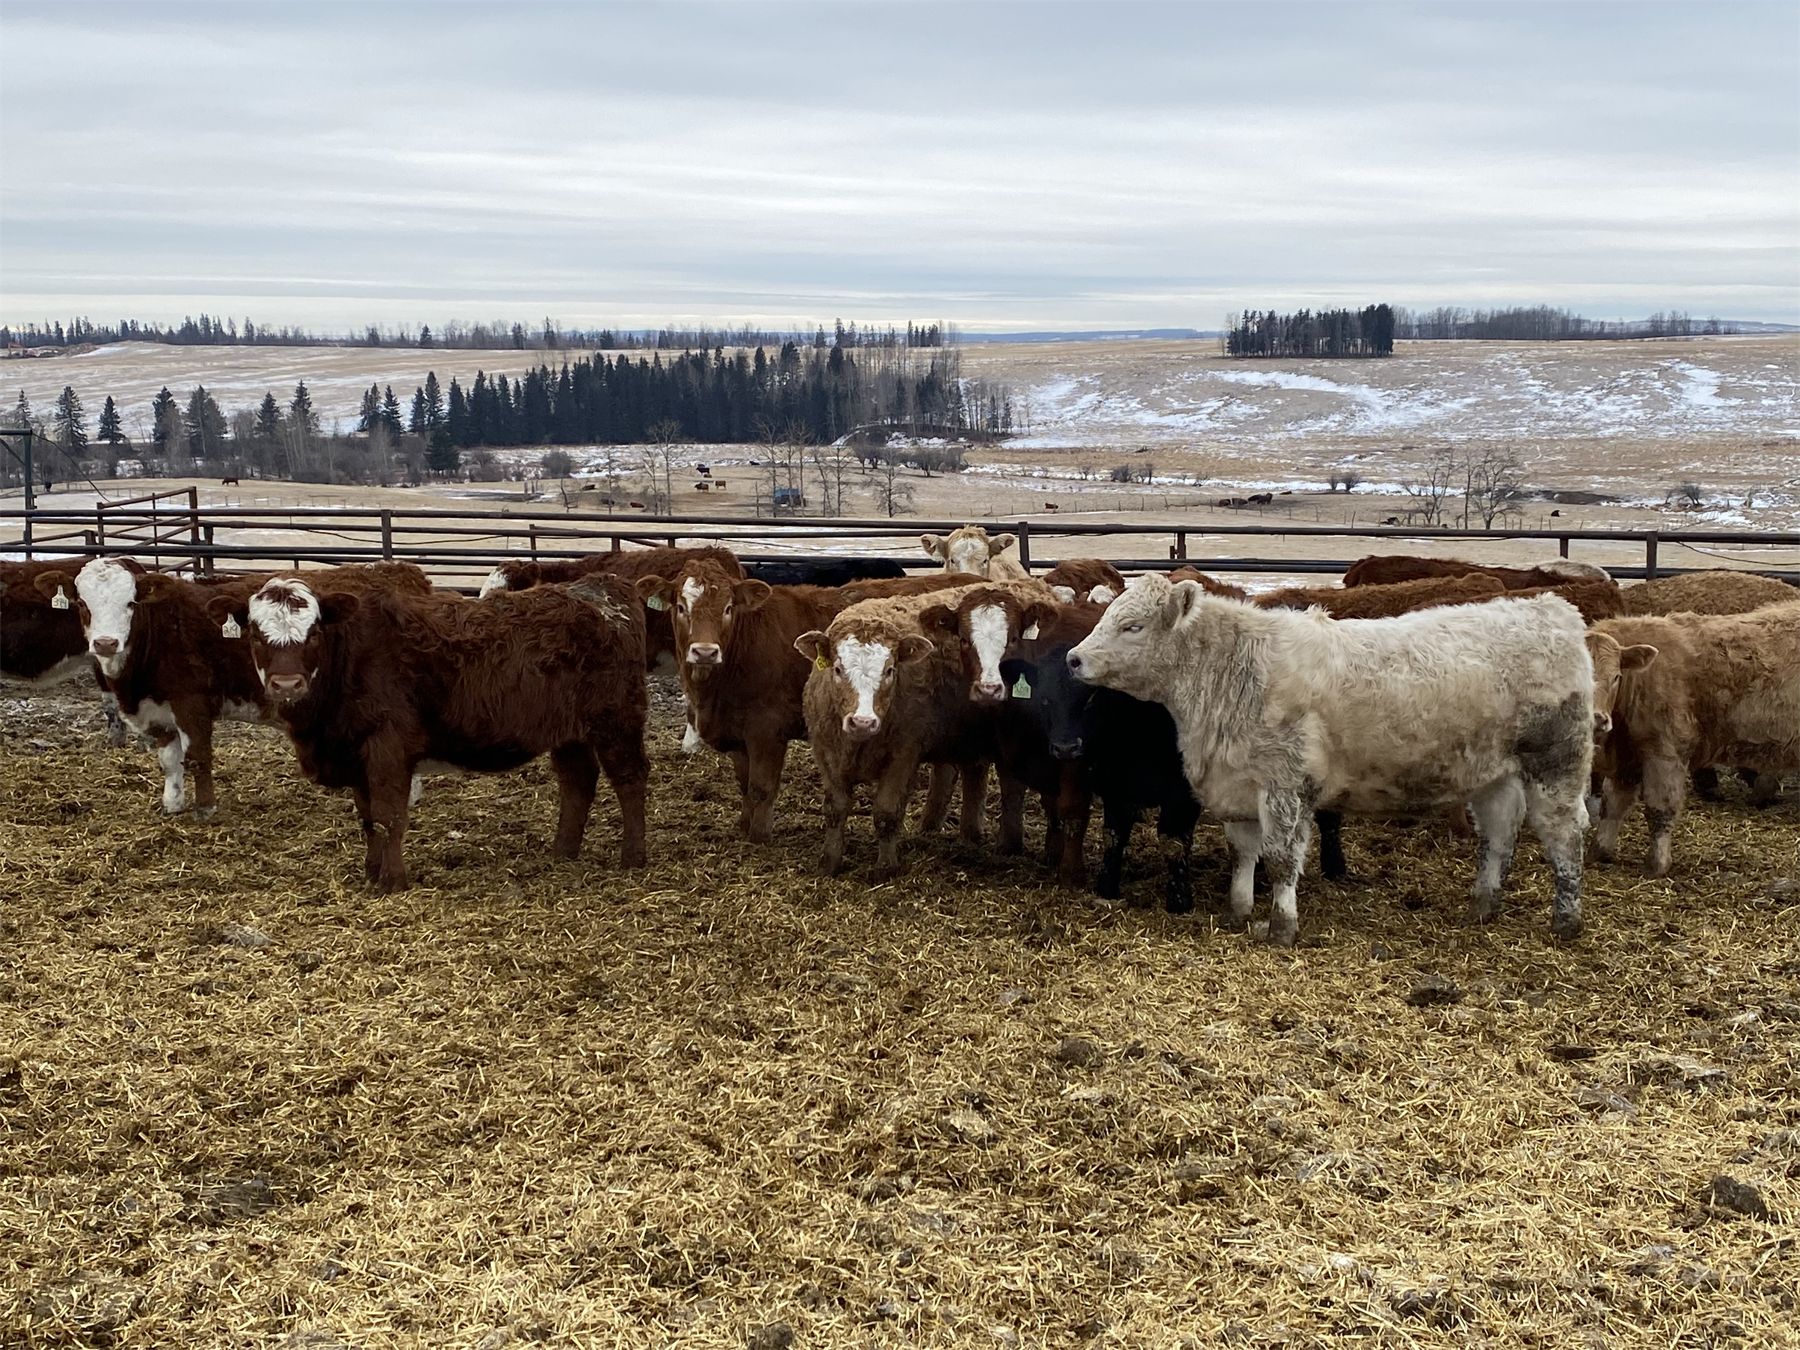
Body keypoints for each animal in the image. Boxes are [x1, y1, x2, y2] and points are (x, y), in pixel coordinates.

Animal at [214, 573, 649, 889]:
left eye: (315, 632)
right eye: (256, 634)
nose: (287, 685)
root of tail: (600, 589)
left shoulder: (387, 745)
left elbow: (389, 815)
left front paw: (392, 881)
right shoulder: (357, 751)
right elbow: (368, 817)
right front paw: (370, 871)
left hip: (617, 721)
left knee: (629, 778)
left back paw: (633, 857)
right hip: (568, 732)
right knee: (578, 781)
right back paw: (563, 851)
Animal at [1066, 576, 1594, 945]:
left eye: (1132, 626)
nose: (1073, 658)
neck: (1233, 671)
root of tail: (1552, 610)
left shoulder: (1285, 788)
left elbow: (1281, 861)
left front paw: (1280, 928)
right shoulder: (1239, 786)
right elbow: (1244, 854)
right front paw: (1239, 912)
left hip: (1557, 768)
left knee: (1566, 839)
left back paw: (1566, 920)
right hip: (1493, 777)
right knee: (1499, 838)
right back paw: (1483, 904)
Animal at [1587, 604, 1800, 877]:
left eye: (1616, 677)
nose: (1597, 719)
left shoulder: (1665, 751)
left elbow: (1660, 809)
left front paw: (1657, 864)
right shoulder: (1627, 756)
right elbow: (1611, 806)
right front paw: (1598, 851)